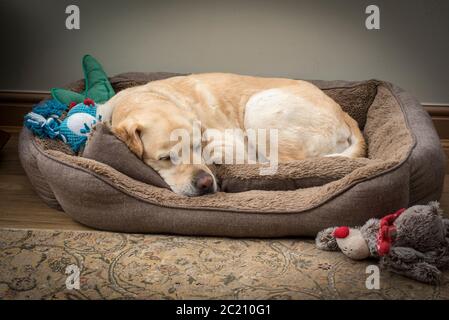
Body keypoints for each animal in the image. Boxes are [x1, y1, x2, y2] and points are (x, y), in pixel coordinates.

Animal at [98, 73, 364, 196]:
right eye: (165, 158)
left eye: (198, 146)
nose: (206, 183)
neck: (145, 98)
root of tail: (343, 113)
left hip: (259, 107)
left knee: (281, 163)